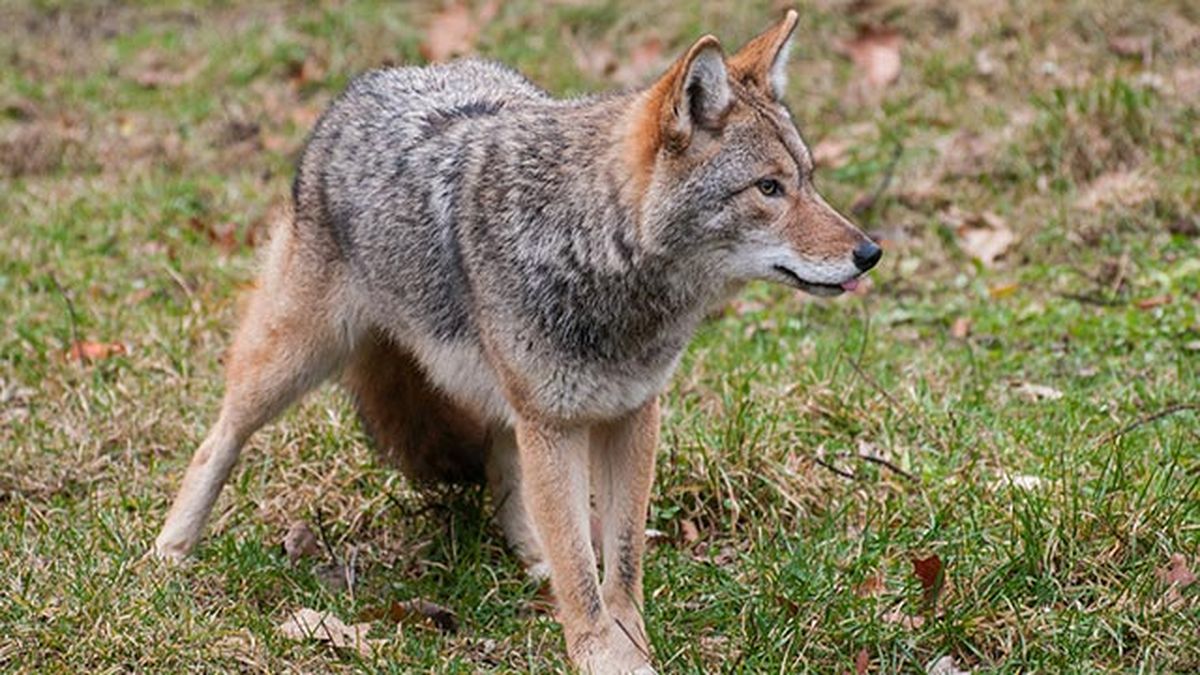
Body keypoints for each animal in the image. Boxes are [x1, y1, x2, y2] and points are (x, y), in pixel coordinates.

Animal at [154, 10, 881, 673]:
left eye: (808, 179)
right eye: (768, 188)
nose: (869, 253)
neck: (592, 247)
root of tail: (376, 80)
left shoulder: (631, 415)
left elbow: (618, 566)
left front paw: (628, 646)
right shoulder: (555, 423)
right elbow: (586, 579)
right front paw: (602, 656)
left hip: (500, 397)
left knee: (509, 474)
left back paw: (533, 557)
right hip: (293, 360)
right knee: (219, 438)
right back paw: (168, 552)